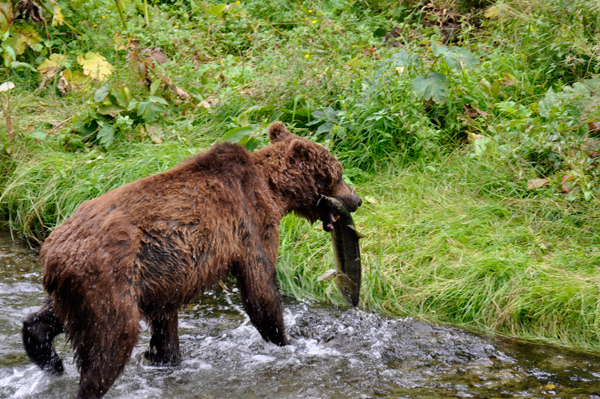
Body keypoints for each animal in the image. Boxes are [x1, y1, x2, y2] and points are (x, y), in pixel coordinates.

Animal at [22, 122, 360, 399]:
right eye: (339, 174)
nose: (356, 200)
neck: (273, 190)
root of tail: (51, 251)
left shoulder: (163, 277)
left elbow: (166, 327)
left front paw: (164, 358)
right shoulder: (250, 224)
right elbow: (260, 289)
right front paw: (287, 342)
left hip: (84, 289)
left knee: (52, 317)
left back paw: (46, 354)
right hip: (107, 278)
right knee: (111, 341)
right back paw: (88, 381)